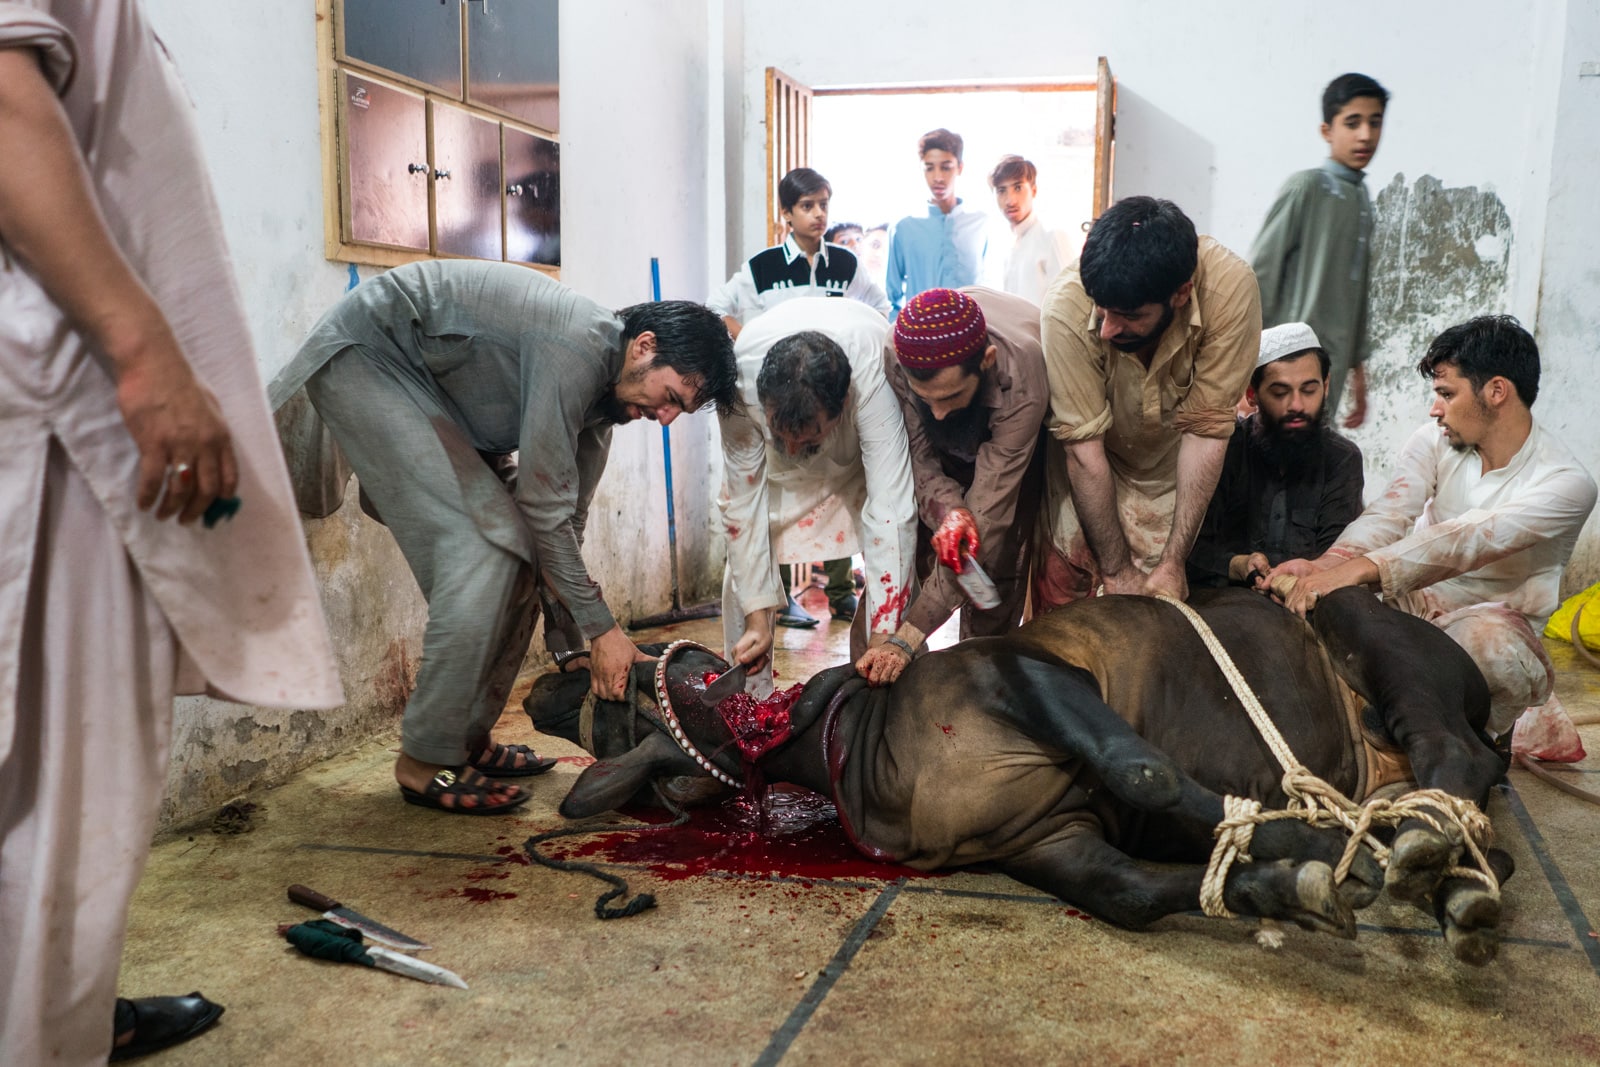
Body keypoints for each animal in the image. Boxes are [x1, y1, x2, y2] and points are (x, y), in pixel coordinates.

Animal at [528, 588, 1510, 966]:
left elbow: (1147, 771)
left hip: (1376, 638)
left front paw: (1309, 837)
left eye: (627, 671)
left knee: (1453, 754)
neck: (851, 742)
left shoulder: (1030, 677)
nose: (541, 684)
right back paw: (1443, 864)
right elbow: (1134, 893)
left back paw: (1425, 850)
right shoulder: (1047, 838)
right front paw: (1294, 880)